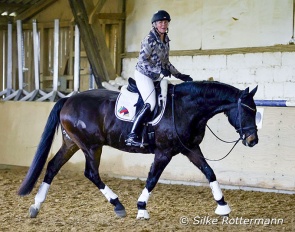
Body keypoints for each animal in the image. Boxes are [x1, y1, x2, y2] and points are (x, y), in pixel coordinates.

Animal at [18, 81, 260, 219]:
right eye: (247, 111)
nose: (252, 140)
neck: (184, 108)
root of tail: (68, 99)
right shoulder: (164, 152)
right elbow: (152, 178)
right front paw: (142, 208)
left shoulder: (191, 148)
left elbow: (209, 172)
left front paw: (223, 206)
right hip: (90, 146)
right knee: (91, 173)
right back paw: (118, 205)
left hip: (72, 143)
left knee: (52, 166)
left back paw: (36, 205)